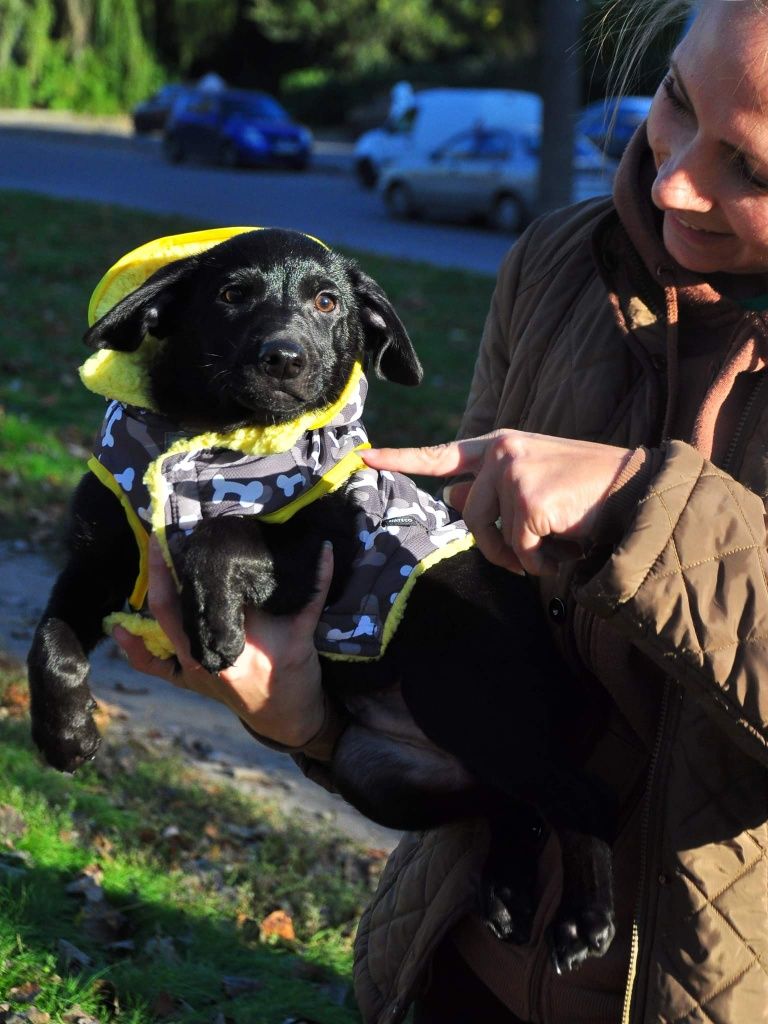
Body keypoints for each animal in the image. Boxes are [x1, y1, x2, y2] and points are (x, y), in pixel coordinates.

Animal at [28, 228, 618, 970]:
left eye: (328, 301)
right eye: (232, 293)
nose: (285, 357)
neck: (211, 437)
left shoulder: (327, 554)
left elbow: (225, 531)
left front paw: (213, 617)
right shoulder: (93, 565)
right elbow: (52, 643)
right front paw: (65, 733)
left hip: (464, 693)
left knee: (579, 802)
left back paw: (584, 916)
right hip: (384, 774)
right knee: (514, 804)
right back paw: (509, 891)